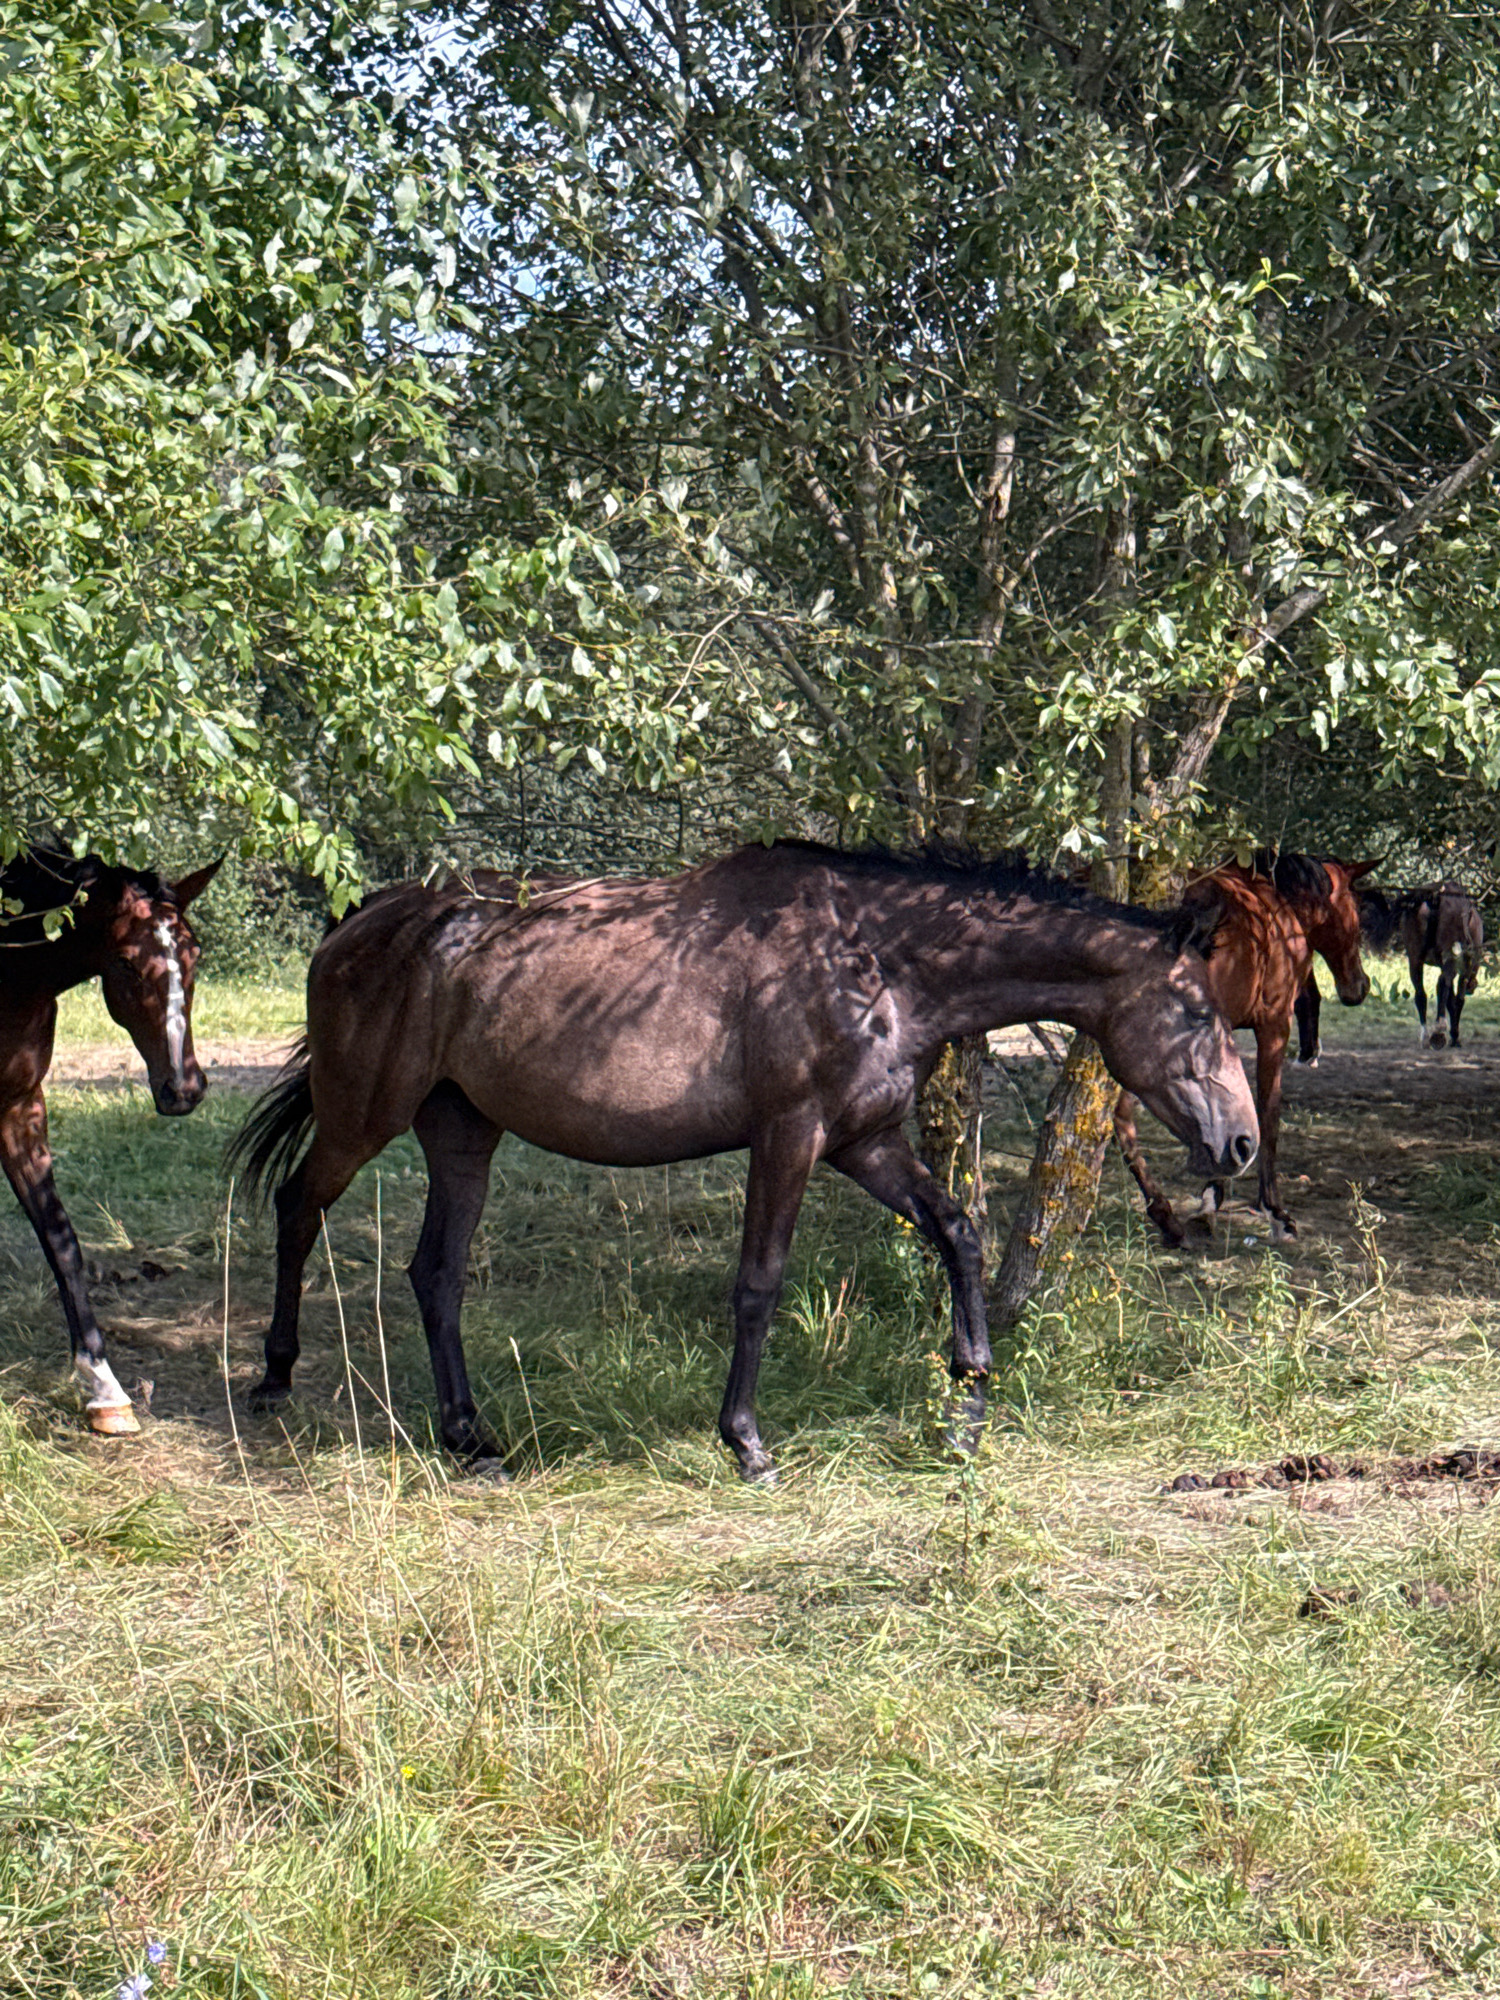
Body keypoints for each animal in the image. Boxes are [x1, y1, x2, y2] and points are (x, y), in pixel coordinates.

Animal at [0, 849, 219, 1433]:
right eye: (125, 962)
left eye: (194, 953)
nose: (183, 1089)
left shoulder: (20, 1110)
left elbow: (60, 1239)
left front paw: (104, 1387)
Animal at [229, 841, 1258, 1482]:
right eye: (1199, 1011)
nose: (1241, 1143)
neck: (874, 958)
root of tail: (363, 919)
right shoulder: (790, 1137)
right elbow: (759, 1284)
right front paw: (747, 1443)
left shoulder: (865, 1142)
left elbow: (957, 1231)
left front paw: (968, 1400)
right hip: (364, 1115)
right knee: (298, 1207)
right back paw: (275, 1378)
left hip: (462, 1132)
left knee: (435, 1273)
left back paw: (471, 1438)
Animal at [1115, 851, 1376, 1245]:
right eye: (1357, 908)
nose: (1359, 987)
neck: (1280, 904)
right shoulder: (1274, 1027)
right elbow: (1267, 1112)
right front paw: (1274, 1210)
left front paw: (1212, 1198)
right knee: (1121, 1116)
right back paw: (1165, 1216)